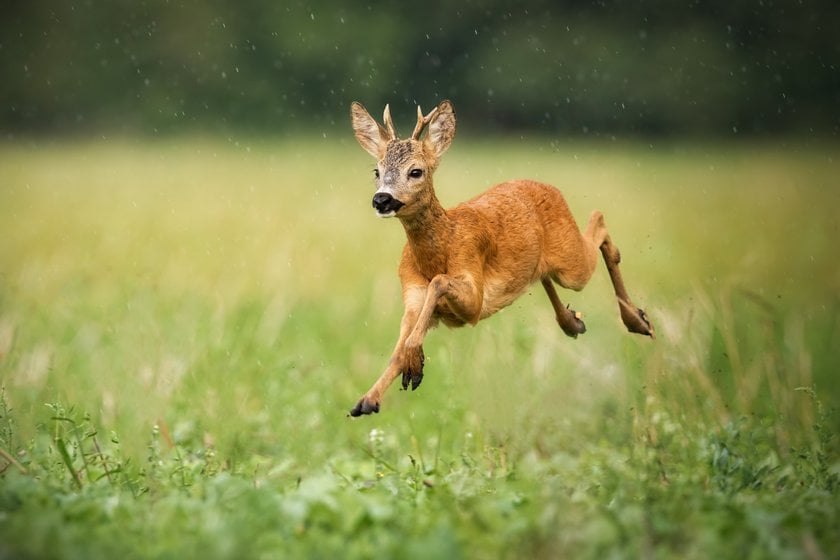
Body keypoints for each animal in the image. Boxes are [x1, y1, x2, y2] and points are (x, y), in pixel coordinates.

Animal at [348, 99, 656, 416]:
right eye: (376, 171)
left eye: (416, 171)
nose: (382, 199)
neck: (440, 248)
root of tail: (549, 187)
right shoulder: (411, 297)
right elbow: (397, 350)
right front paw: (368, 400)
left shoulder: (474, 296)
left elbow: (439, 284)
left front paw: (412, 364)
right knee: (545, 274)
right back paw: (573, 322)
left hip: (572, 264)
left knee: (599, 223)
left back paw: (638, 321)